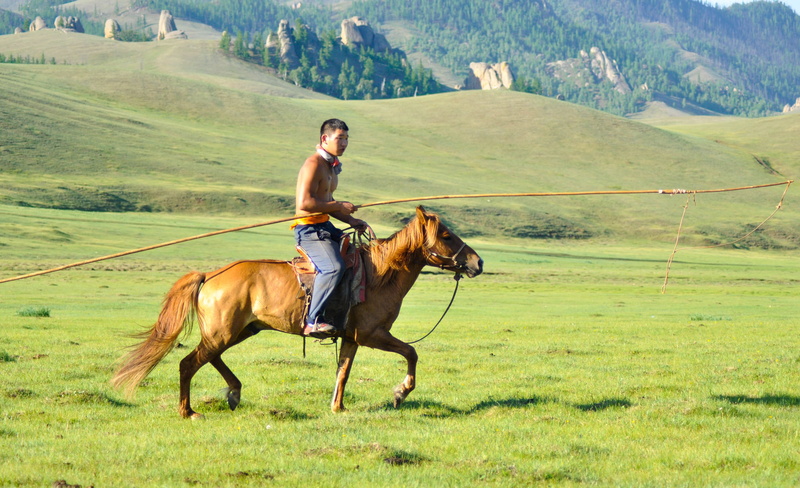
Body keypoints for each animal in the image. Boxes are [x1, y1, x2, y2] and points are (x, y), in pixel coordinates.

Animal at [112, 206, 483, 418]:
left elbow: (343, 372)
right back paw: (188, 411)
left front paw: (338, 407)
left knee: (210, 358)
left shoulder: (351, 337)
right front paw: (400, 392)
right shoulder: (373, 334)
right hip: (224, 332)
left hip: (238, 331)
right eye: (446, 235)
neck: (380, 273)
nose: (477, 263)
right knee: (189, 363)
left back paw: (234, 391)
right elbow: (411, 353)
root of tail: (210, 275)